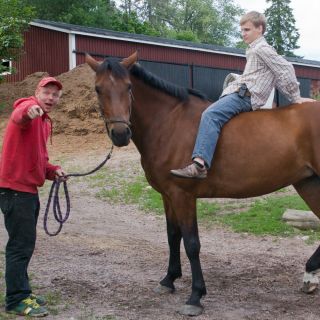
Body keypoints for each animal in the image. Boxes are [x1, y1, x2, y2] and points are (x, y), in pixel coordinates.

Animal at [85, 51, 320, 316]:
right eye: (98, 89)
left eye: (128, 87)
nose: (120, 134)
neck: (168, 121)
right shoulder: (167, 195)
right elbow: (172, 236)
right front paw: (169, 280)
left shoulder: (183, 195)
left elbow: (191, 244)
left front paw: (195, 296)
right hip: (308, 183)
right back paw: (310, 275)